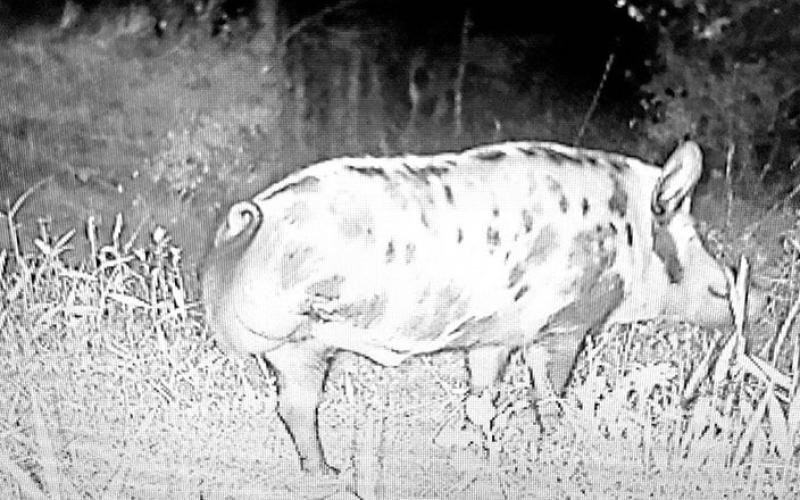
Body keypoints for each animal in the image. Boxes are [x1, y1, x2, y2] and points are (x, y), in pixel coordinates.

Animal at [201, 140, 765, 474]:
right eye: (696, 242)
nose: (747, 306)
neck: (629, 241)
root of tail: (253, 217)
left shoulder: (493, 334)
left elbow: (482, 392)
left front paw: (475, 446)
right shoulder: (563, 323)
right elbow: (550, 394)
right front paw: (555, 447)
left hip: (298, 343)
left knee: (291, 405)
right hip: (301, 333)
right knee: (298, 406)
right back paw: (331, 475)